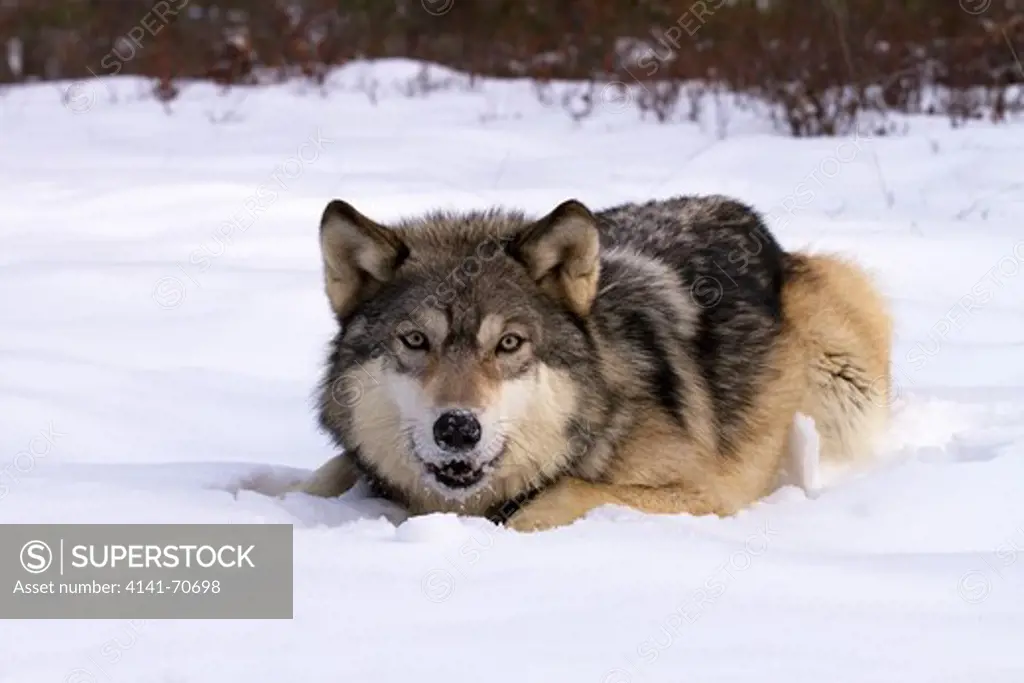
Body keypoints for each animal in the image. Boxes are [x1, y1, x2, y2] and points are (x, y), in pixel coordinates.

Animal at [286, 194, 888, 532]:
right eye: (414, 340)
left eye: (509, 344)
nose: (457, 428)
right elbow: (324, 477)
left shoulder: (709, 495)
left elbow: (559, 498)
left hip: (846, 387)